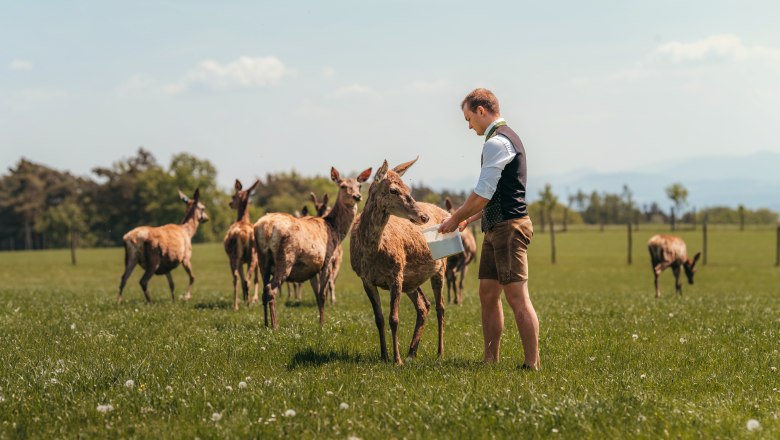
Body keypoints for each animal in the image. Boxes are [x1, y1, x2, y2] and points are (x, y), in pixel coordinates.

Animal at [224, 179, 260, 311]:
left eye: (233, 196)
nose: (230, 203)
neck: (243, 219)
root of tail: (243, 234)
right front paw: (250, 299)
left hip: (236, 256)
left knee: (238, 279)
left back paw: (238, 305)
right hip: (248, 256)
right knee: (245, 279)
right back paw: (244, 304)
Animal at [254, 166, 372, 328]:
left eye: (359, 185)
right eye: (342, 186)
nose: (357, 196)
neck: (335, 229)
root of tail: (266, 228)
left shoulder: (312, 267)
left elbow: (317, 294)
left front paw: (320, 321)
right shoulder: (327, 260)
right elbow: (322, 294)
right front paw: (322, 325)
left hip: (262, 258)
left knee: (264, 290)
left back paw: (266, 324)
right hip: (286, 257)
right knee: (271, 289)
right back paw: (275, 325)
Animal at [350, 158, 449, 365]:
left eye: (409, 189)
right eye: (393, 190)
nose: (424, 216)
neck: (371, 254)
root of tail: (445, 212)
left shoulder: (396, 273)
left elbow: (394, 318)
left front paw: (397, 360)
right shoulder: (365, 279)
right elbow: (379, 318)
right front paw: (384, 355)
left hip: (441, 266)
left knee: (441, 307)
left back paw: (439, 352)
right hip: (411, 281)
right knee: (424, 305)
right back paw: (412, 352)